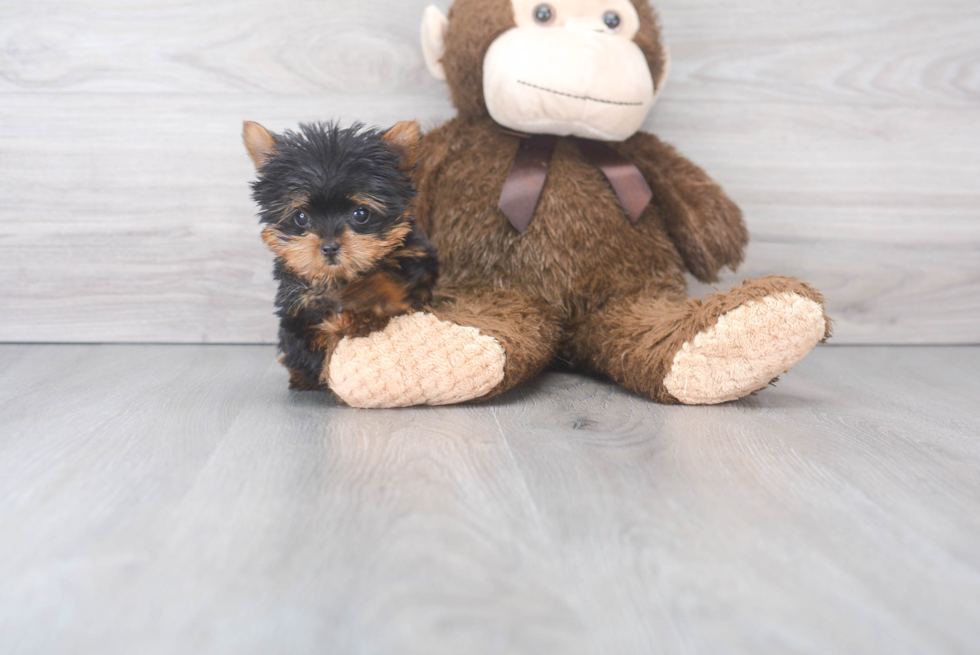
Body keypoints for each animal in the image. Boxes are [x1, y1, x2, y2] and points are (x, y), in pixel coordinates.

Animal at [245, 121, 440, 392]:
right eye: (301, 217)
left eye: (361, 214)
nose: (329, 247)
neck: (339, 278)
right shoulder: (294, 305)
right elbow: (304, 338)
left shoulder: (417, 259)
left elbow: (393, 280)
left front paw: (364, 298)